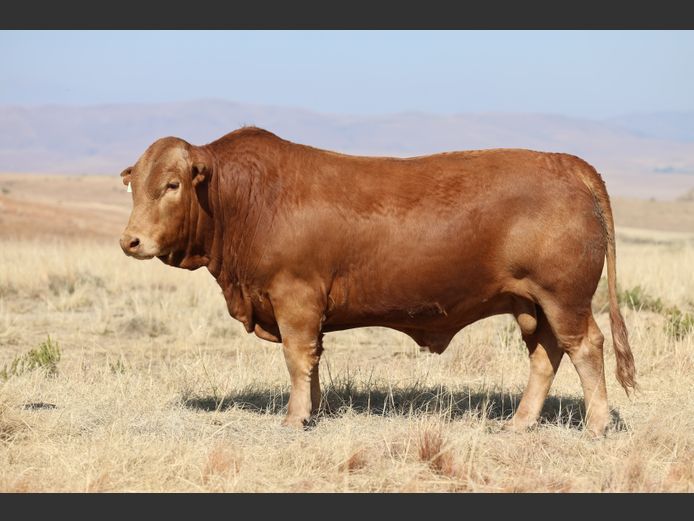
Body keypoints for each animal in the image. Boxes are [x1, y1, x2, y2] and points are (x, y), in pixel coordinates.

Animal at [119, 127, 636, 436]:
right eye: (134, 185)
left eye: (172, 185)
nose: (131, 241)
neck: (245, 199)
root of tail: (567, 163)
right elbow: (313, 362)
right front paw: (315, 409)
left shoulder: (295, 297)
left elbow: (297, 358)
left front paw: (294, 417)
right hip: (532, 304)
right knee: (546, 356)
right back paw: (520, 422)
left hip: (564, 299)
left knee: (586, 348)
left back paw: (596, 425)